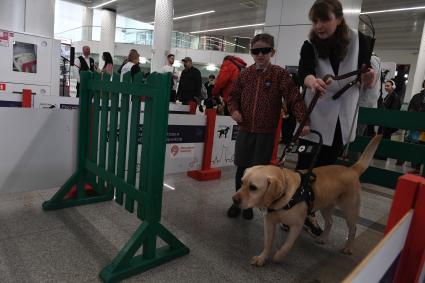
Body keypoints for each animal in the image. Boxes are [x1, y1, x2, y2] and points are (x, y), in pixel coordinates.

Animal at [232, 135, 380, 266]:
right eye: (241, 182)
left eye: (253, 187)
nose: (234, 199)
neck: (282, 198)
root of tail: (352, 169)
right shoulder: (268, 222)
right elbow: (267, 243)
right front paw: (262, 258)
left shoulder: (297, 225)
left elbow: (286, 246)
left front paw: (278, 257)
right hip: (326, 206)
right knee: (330, 222)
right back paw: (323, 238)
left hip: (350, 210)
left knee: (353, 228)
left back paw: (348, 247)